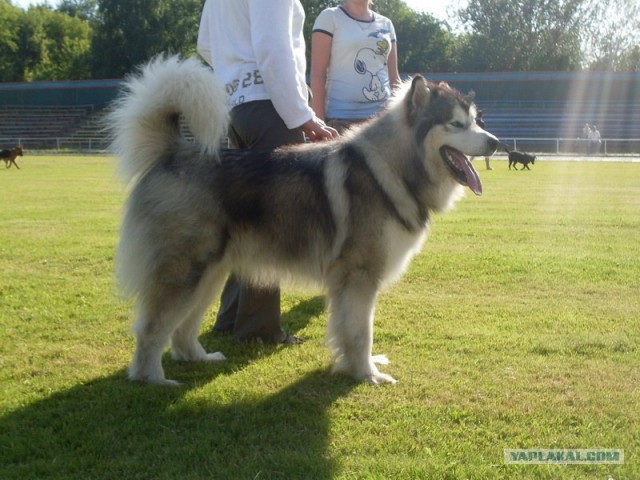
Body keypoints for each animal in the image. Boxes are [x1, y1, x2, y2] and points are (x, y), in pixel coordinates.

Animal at [110, 56, 500, 386]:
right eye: (456, 124)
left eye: (476, 121)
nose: (495, 143)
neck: (394, 168)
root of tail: (175, 152)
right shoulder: (359, 276)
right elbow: (361, 331)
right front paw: (367, 374)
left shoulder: (347, 283)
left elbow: (348, 330)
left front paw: (355, 367)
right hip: (186, 271)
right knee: (152, 327)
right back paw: (151, 379)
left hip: (211, 273)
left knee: (182, 329)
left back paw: (198, 358)